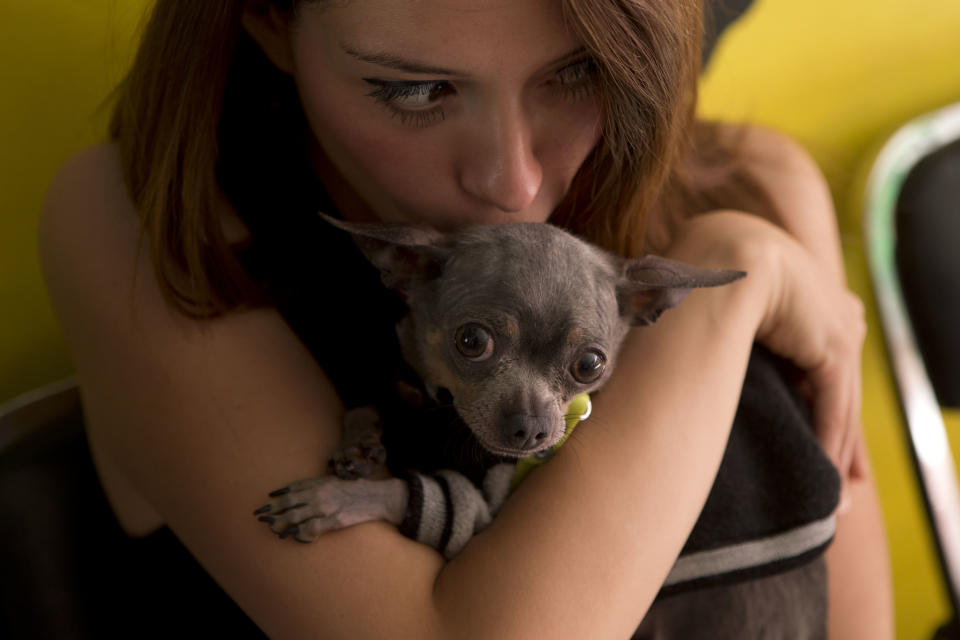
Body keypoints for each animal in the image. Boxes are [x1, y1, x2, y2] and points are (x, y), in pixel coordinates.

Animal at [256, 218, 832, 636]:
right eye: (471, 342)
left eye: (590, 365)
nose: (531, 430)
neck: (439, 406)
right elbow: (370, 404)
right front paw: (361, 443)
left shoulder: (482, 514)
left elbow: (410, 495)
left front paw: (332, 500)